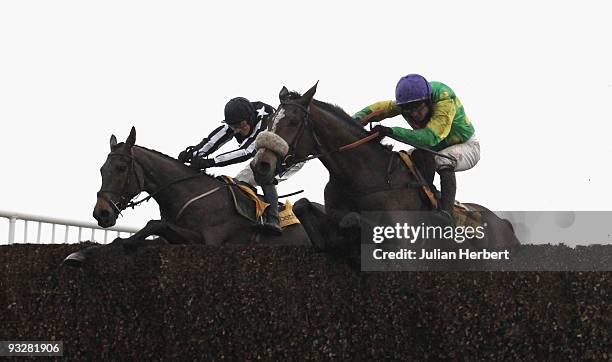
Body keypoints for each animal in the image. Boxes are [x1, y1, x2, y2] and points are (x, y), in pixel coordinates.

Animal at [64, 126, 328, 266]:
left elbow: (152, 225)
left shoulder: (209, 242)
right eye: (102, 170)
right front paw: (80, 253)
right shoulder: (176, 237)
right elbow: (139, 235)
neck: (192, 195)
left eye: (120, 168)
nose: (101, 213)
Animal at [251, 84, 520, 250]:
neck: (363, 179)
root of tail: (503, 224)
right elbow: (303, 204)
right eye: (270, 119)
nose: (260, 165)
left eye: (293, 122)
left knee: (444, 162)